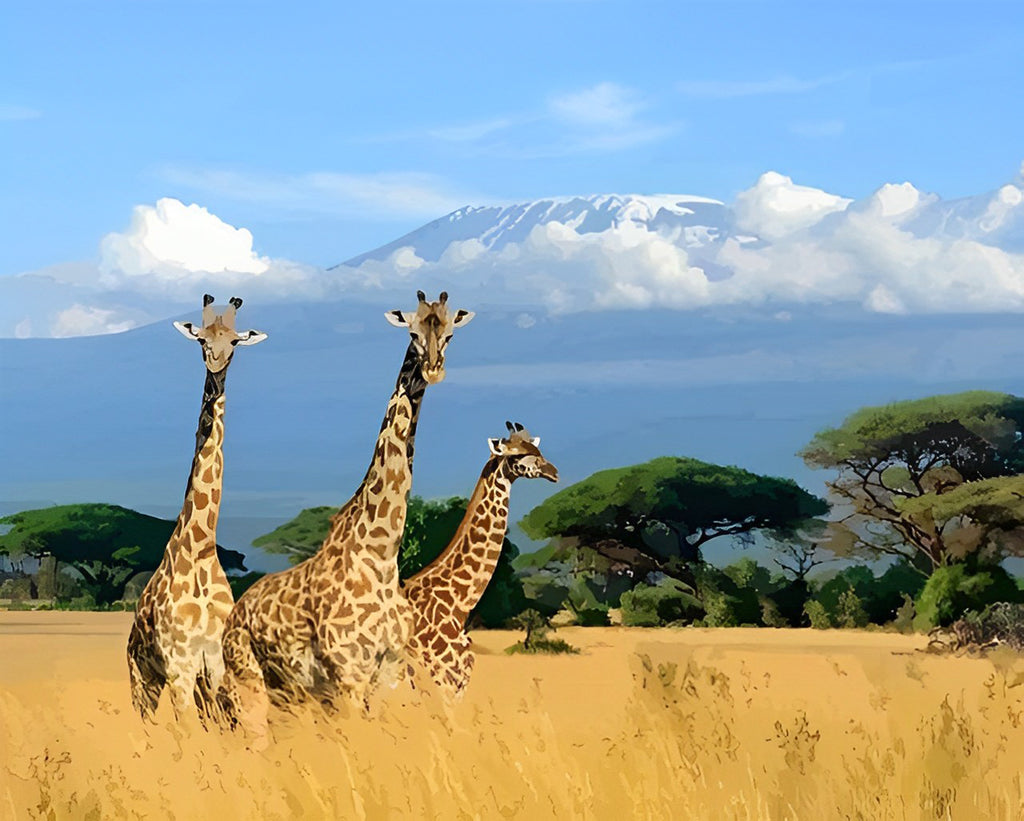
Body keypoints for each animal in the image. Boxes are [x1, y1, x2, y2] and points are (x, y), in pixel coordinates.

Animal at [126, 292, 268, 716]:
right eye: (202, 339)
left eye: (234, 341)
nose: (216, 365)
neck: (201, 548)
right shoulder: (180, 668)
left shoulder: (215, 666)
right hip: (142, 681)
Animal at [218, 288, 473, 728]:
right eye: (412, 331)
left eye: (450, 333)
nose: (434, 369)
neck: (382, 554)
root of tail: (236, 612)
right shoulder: (349, 675)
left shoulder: (388, 674)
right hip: (250, 681)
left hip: (292, 693)